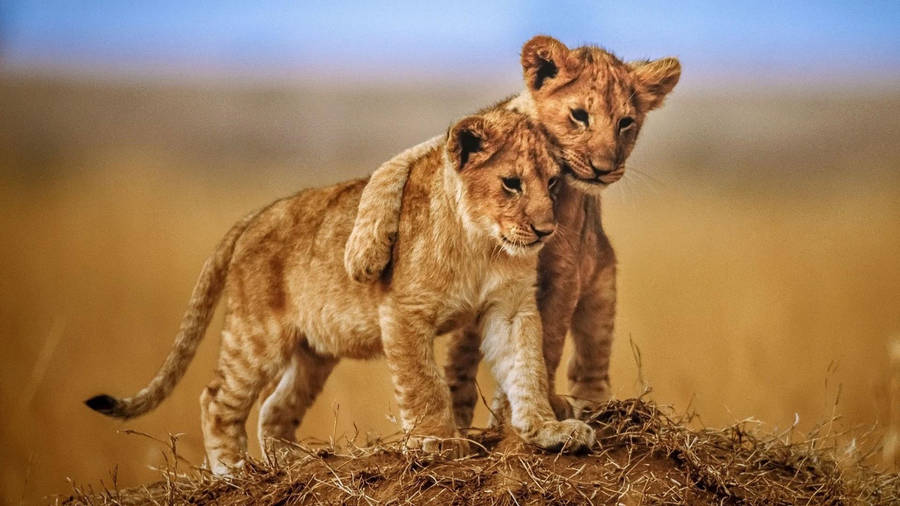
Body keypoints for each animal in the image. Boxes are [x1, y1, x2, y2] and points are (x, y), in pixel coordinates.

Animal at [85, 108, 595, 476]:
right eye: (511, 183)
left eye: (553, 182)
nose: (546, 230)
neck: (481, 244)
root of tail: (256, 215)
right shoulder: (403, 311)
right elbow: (424, 383)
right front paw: (437, 441)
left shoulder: (510, 308)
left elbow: (527, 367)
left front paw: (549, 429)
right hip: (256, 335)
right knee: (217, 399)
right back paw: (232, 472)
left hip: (314, 351)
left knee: (274, 408)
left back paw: (295, 463)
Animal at [343, 36, 681, 425]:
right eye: (579, 115)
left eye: (626, 123)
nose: (603, 168)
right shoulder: (452, 145)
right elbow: (391, 168)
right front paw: (363, 254)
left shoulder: (565, 272)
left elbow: (545, 343)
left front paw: (526, 410)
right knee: (460, 358)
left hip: (601, 287)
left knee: (590, 361)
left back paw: (591, 407)